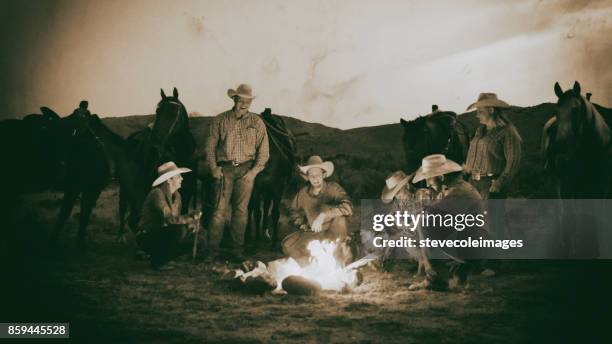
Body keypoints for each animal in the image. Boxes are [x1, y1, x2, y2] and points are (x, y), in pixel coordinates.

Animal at [246, 107, 298, 247]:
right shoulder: (256, 187)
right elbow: (257, 213)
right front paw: (256, 241)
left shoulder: (278, 188)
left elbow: (274, 213)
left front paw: (274, 241)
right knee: (251, 208)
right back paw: (249, 234)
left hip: (269, 190)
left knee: (266, 207)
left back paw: (265, 233)